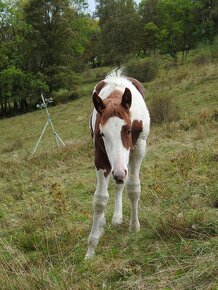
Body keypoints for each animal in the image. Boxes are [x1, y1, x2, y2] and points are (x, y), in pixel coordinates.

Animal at [85, 68, 150, 258]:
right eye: (102, 134)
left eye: (128, 130)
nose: (119, 171)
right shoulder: (100, 156)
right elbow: (100, 199)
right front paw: (91, 248)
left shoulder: (138, 149)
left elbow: (133, 188)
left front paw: (134, 226)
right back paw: (105, 222)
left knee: (121, 182)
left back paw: (117, 218)